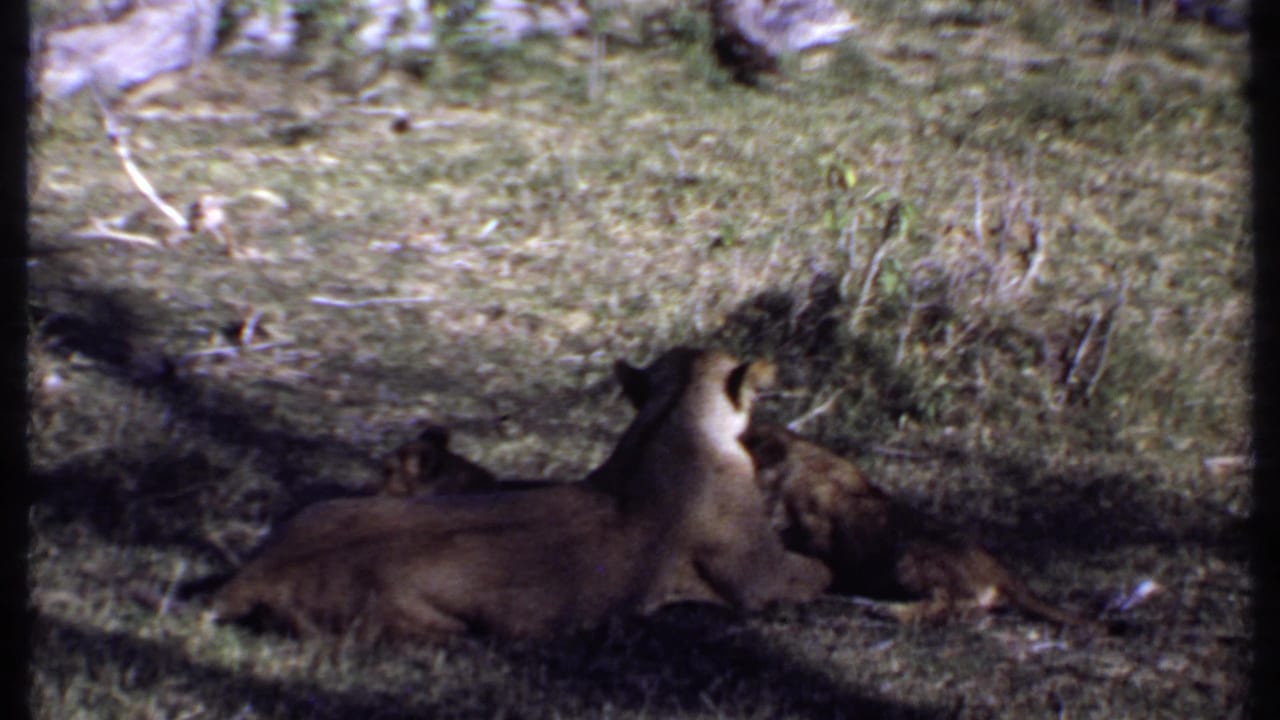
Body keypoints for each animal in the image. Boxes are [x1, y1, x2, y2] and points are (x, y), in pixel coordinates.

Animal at [210, 348, 830, 641]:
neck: (671, 419)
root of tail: (254, 574)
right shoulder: (758, 578)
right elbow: (818, 572)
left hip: (338, 504)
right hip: (426, 624)